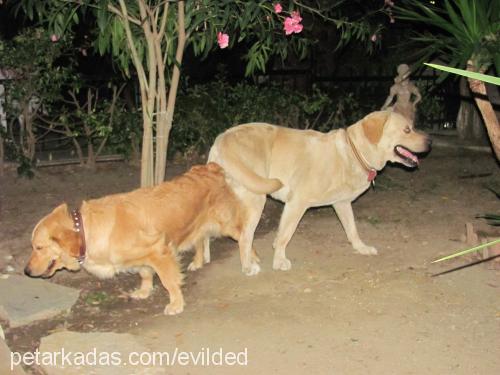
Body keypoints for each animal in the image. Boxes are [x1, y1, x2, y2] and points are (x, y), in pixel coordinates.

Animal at [206, 110, 430, 274]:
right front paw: (279, 260)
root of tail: (222, 138)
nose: (430, 142)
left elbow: (352, 230)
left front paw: (361, 248)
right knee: (244, 236)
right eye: (407, 129)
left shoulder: (342, 204)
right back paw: (247, 266)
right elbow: (284, 235)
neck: (354, 152)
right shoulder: (296, 203)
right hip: (256, 199)